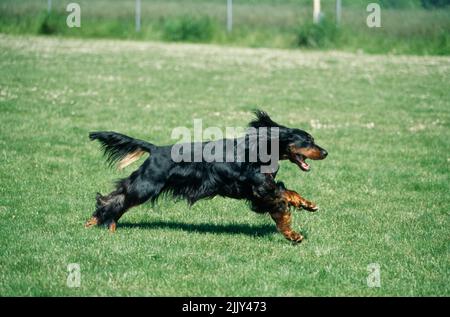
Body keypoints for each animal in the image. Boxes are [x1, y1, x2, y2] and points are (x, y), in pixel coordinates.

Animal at [85, 110, 326, 242]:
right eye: (308, 140)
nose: (325, 152)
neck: (261, 149)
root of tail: (155, 149)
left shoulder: (263, 190)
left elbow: (287, 195)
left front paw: (307, 205)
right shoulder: (262, 190)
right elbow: (282, 205)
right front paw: (293, 233)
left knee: (116, 196)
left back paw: (100, 224)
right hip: (146, 185)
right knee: (115, 199)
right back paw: (97, 222)